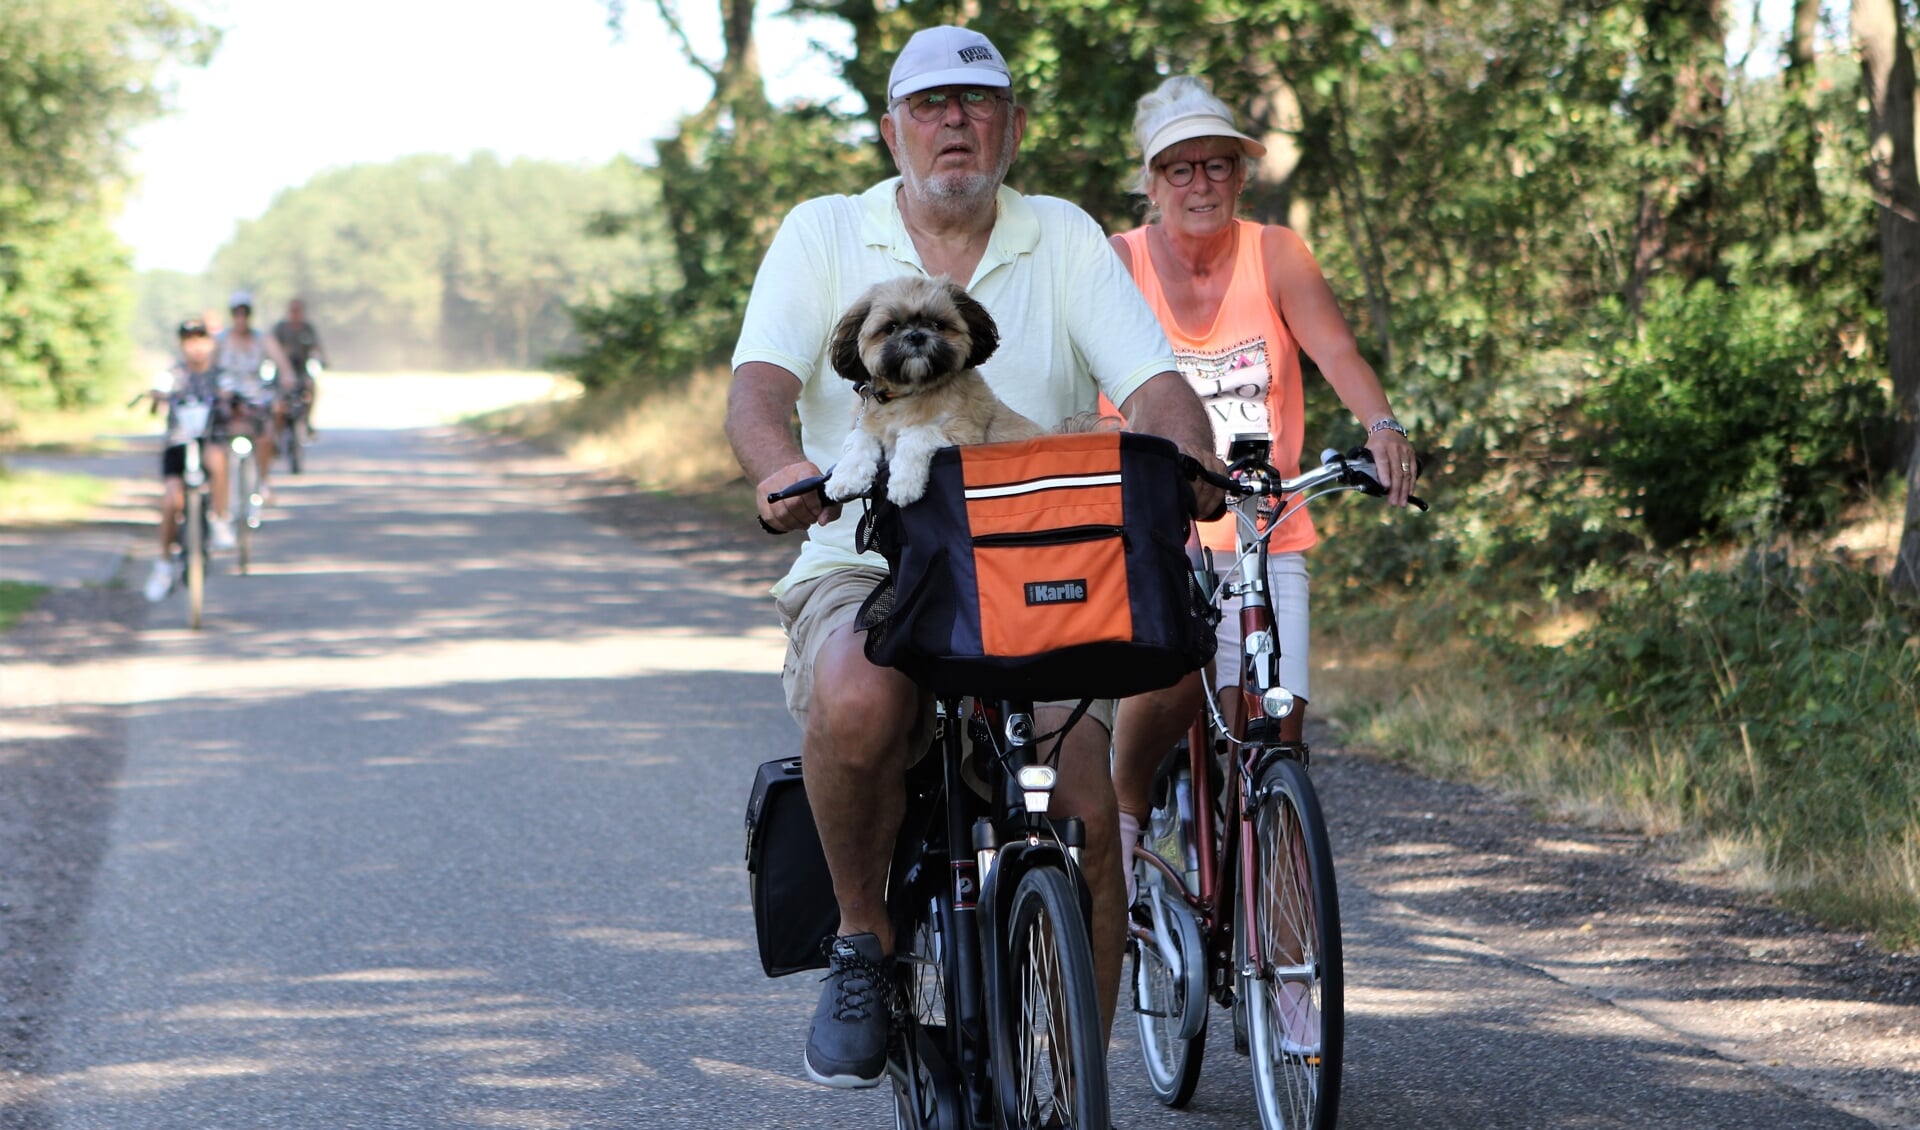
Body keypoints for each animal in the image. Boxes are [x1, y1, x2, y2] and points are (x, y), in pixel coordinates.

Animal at [817, 276, 1044, 502]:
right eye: (890, 326)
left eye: (938, 324)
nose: (916, 335)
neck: (907, 394)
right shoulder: (866, 421)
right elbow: (859, 439)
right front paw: (846, 476)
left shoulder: (964, 434)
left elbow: (917, 435)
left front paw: (904, 483)